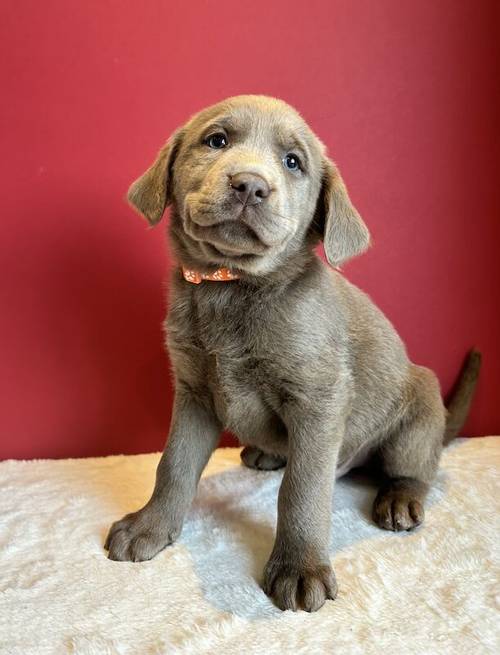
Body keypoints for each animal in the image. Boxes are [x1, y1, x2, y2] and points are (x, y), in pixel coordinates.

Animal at [105, 95, 480, 612]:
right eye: (216, 140)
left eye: (293, 163)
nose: (250, 184)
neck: (232, 287)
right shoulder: (194, 393)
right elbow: (173, 465)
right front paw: (150, 527)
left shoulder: (318, 401)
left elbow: (302, 489)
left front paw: (300, 569)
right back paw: (266, 453)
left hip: (418, 409)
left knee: (416, 467)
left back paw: (400, 499)